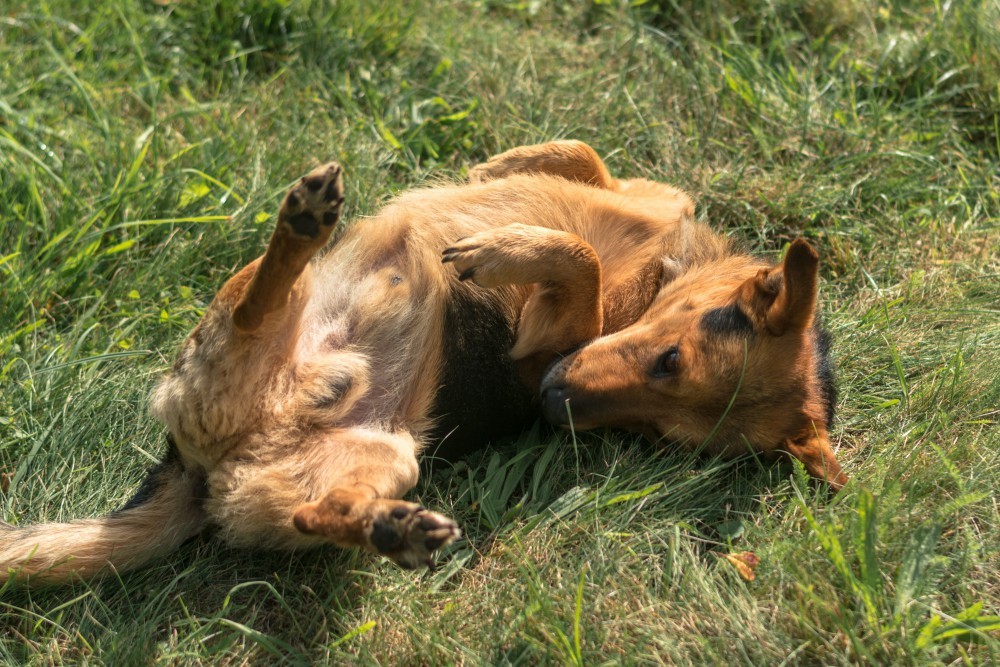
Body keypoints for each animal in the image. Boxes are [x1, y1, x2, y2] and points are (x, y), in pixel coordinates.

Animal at [0, 141, 848, 584]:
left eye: (659, 436)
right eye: (669, 359)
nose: (552, 408)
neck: (660, 273)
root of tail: (198, 472)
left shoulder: (547, 342)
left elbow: (577, 261)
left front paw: (506, 247)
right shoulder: (627, 220)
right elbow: (582, 163)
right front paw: (504, 175)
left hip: (384, 454)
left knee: (301, 458)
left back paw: (391, 528)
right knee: (261, 311)